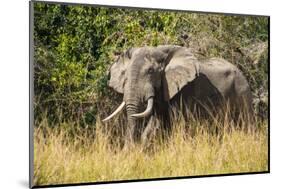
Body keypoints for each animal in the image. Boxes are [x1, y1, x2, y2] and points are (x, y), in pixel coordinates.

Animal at [101, 45, 253, 145]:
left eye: (150, 71)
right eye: (125, 73)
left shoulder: (183, 92)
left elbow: (177, 124)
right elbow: (154, 123)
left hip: (242, 92)